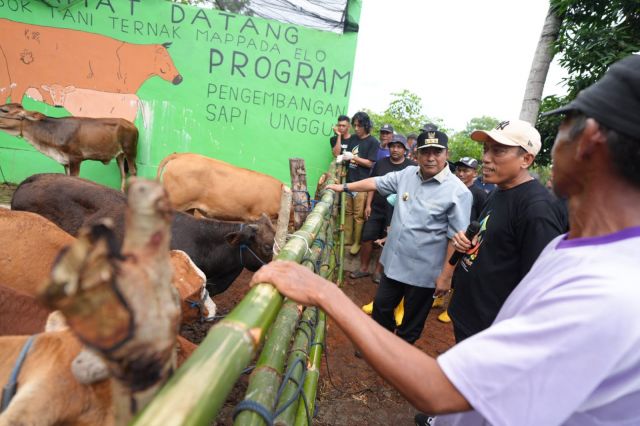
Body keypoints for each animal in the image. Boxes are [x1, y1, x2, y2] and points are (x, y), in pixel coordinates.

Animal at [0, 102, 138, 191]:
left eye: (4, 110)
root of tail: (131, 124)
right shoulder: (65, 161)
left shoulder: (75, 158)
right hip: (120, 155)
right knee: (123, 174)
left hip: (130, 151)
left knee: (133, 171)